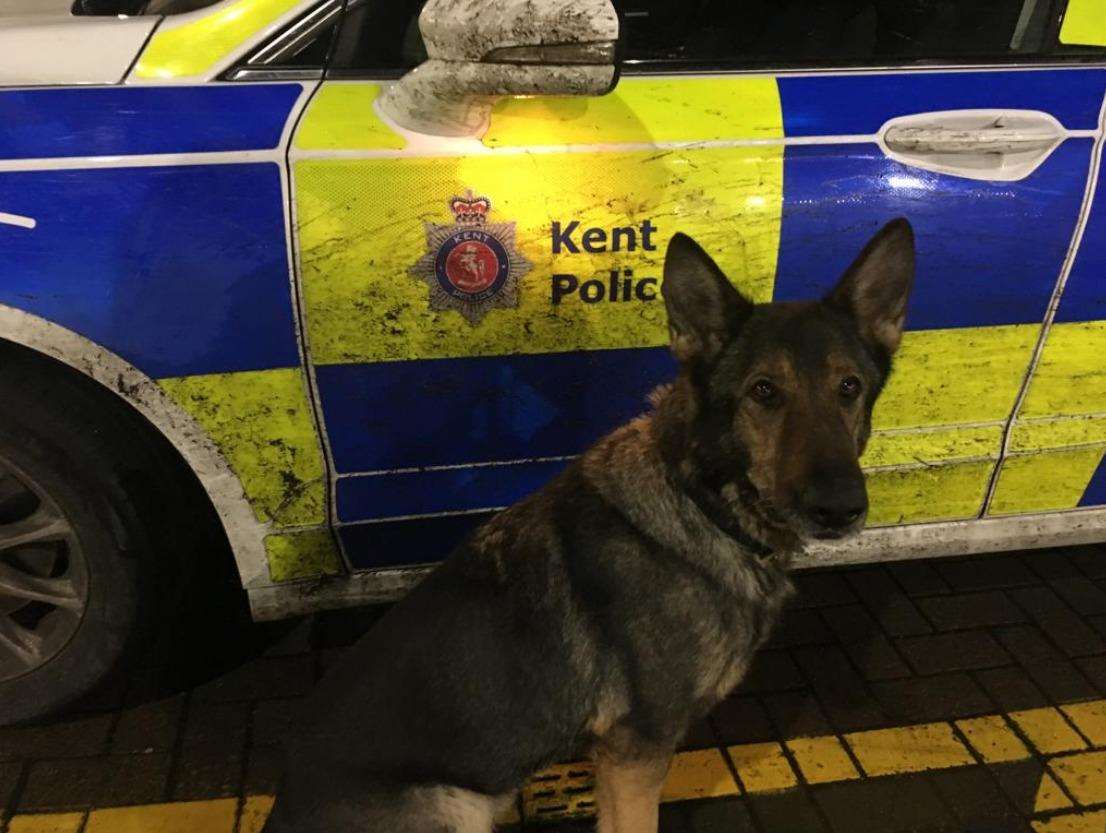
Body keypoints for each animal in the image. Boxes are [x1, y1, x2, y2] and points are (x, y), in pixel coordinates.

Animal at [267, 219, 915, 831]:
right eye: (764, 391)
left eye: (849, 388)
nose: (841, 508)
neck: (701, 505)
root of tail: (280, 809)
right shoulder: (636, 753)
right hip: (455, 804)